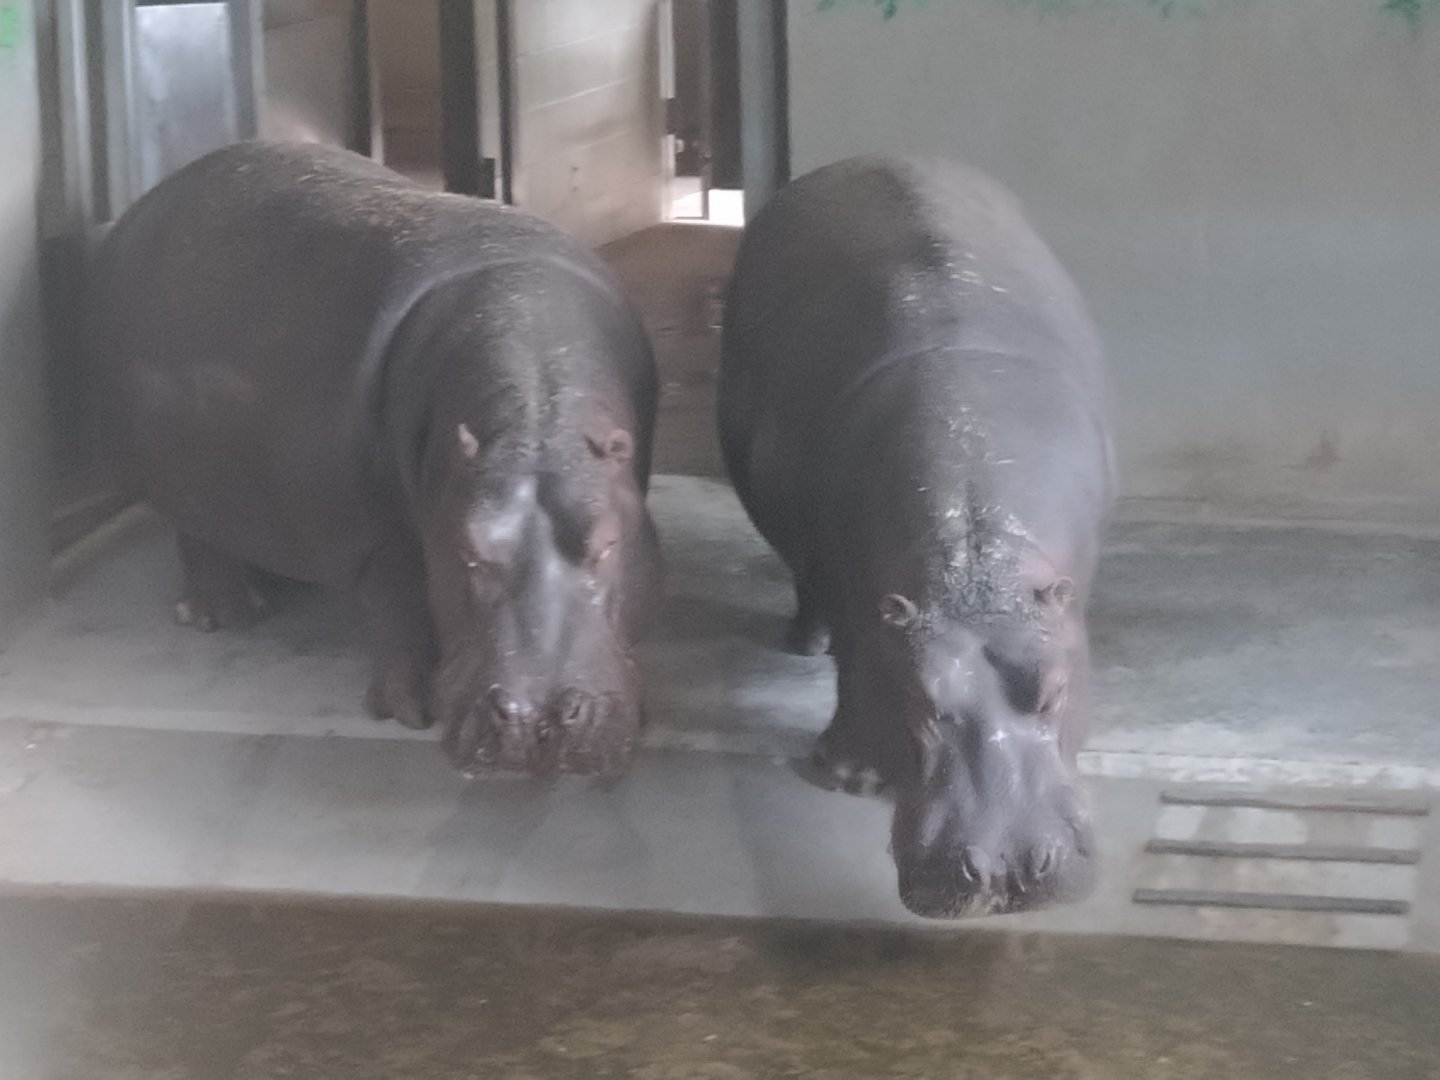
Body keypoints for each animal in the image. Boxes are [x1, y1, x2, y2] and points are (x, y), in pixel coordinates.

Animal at [87, 141, 662, 776]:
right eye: (466, 551)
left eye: (607, 542)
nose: (537, 719)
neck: (535, 429)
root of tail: (144, 206)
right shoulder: (378, 536)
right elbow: (398, 606)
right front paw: (408, 713)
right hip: (180, 481)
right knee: (199, 539)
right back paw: (225, 614)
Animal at [717, 157, 1114, 917]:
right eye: (920, 700)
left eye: (1052, 690)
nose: (1006, 869)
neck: (979, 575)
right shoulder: (859, 594)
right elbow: (855, 659)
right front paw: (846, 773)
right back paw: (803, 643)